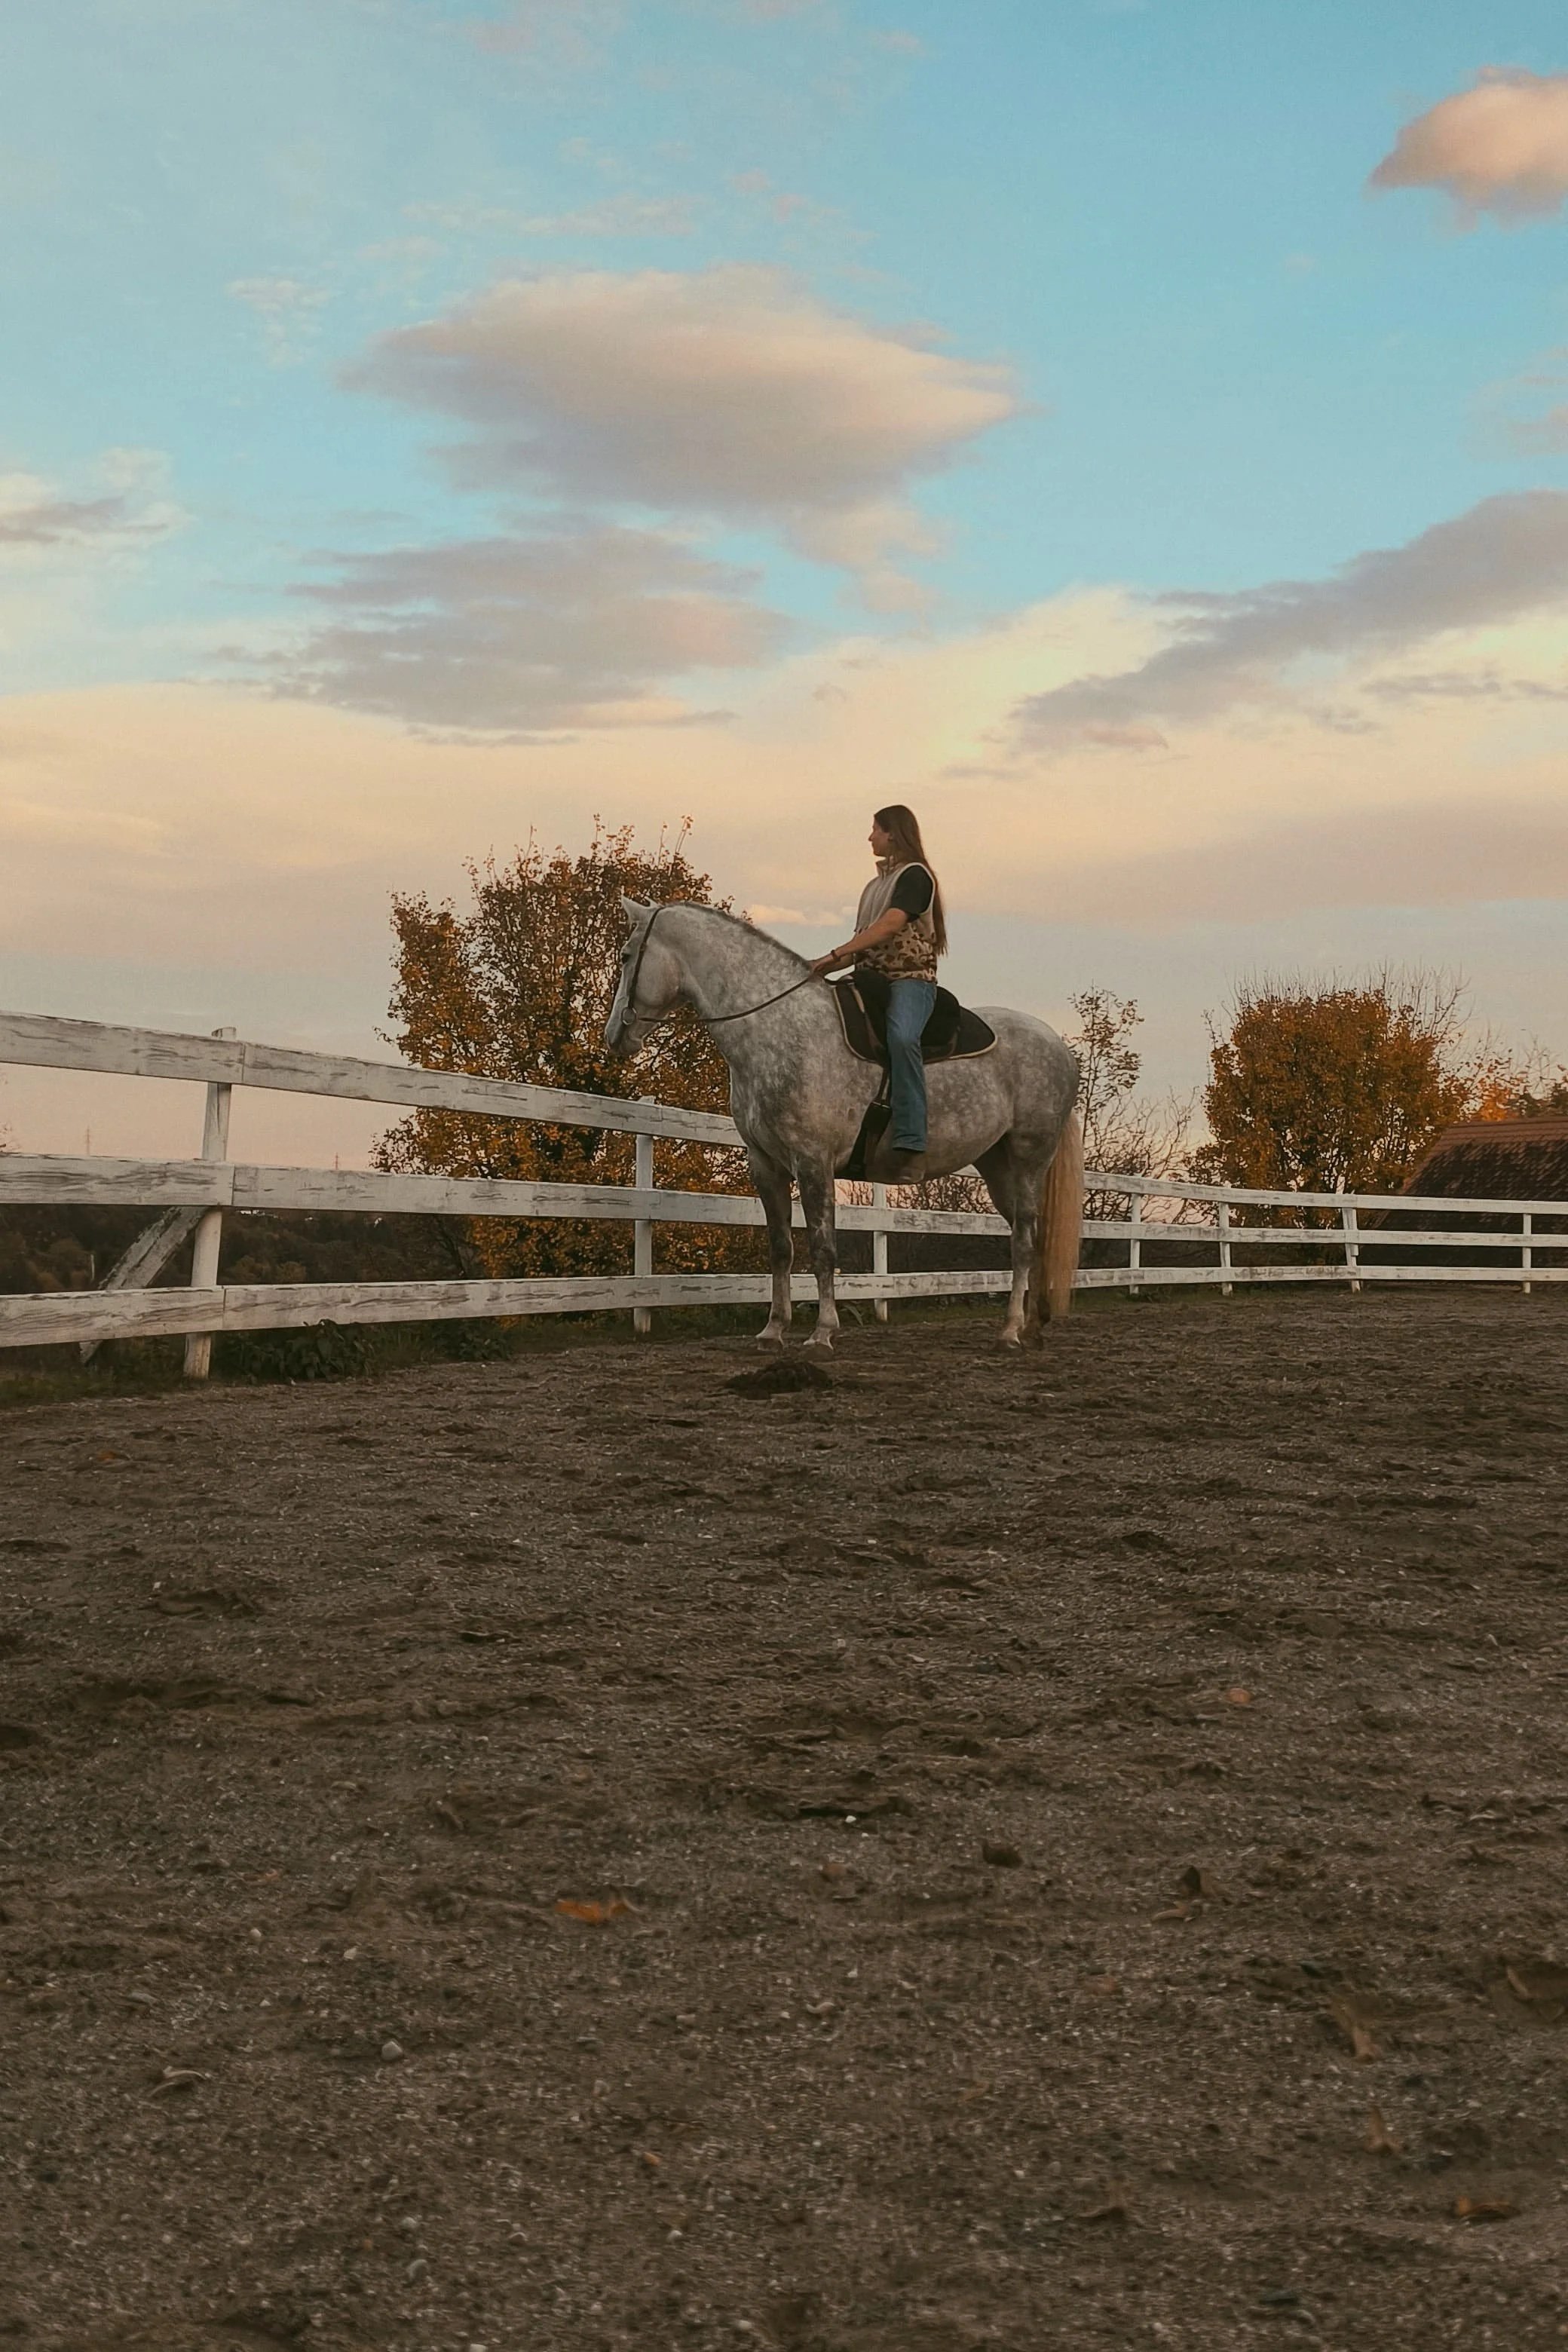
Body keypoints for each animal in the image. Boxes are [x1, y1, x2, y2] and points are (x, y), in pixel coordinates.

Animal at [605, 899, 1082, 1351]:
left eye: (627, 956)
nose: (615, 1036)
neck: (778, 1029)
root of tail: (1057, 1045)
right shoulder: (766, 1165)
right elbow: (781, 1249)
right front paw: (773, 1331)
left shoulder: (813, 1162)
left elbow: (822, 1248)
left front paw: (822, 1333)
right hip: (997, 1165)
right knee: (1031, 1236)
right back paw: (1033, 1328)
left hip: (1029, 1159)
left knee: (1023, 1242)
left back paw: (1010, 1332)